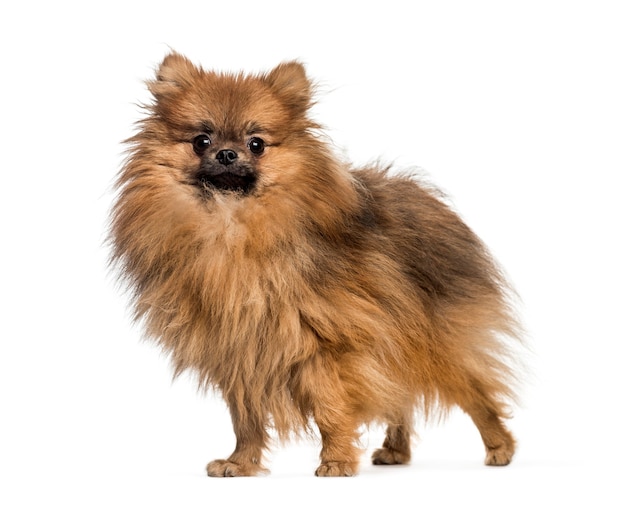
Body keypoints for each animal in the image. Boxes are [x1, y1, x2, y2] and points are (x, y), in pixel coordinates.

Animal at [108, 54, 520, 476]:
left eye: (256, 144)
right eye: (201, 141)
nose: (226, 153)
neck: (230, 226)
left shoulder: (323, 346)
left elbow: (330, 408)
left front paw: (336, 460)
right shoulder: (239, 352)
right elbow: (245, 419)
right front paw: (240, 462)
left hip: (434, 344)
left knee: (475, 395)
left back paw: (499, 448)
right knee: (400, 399)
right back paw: (396, 451)